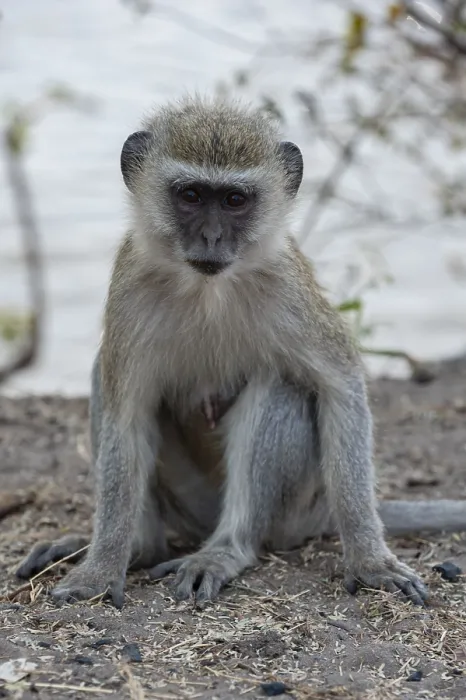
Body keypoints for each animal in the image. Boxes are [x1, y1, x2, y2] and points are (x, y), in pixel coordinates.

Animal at [16, 95, 466, 610]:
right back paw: (143, 547)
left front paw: (370, 559)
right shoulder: (130, 289)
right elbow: (124, 416)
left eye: (234, 200)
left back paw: (226, 550)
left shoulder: (290, 289)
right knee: (103, 379)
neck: (207, 288)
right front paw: (102, 566)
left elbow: (342, 386)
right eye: (191, 195)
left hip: (294, 511)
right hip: (192, 503)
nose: (211, 238)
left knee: (280, 384)